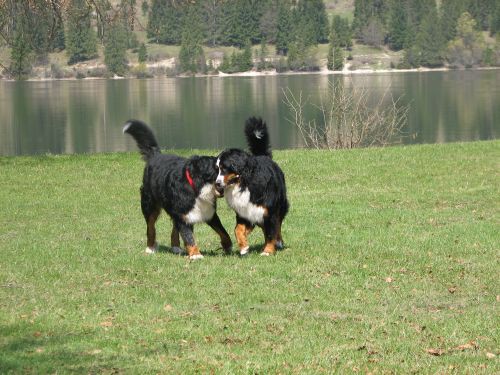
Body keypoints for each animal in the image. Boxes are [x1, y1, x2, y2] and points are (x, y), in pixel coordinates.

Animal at [123, 121, 232, 262]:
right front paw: (195, 254)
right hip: (150, 205)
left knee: (174, 228)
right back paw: (150, 247)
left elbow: (223, 231)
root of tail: (156, 155)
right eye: (219, 168)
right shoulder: (184, 214)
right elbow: (189, 236)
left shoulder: (208, 213)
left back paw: (175, 247)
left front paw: (228, 246)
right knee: (151, 227)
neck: (197, 189)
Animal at [215, 119, 290, 258]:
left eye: (224, 168)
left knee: (277, 226)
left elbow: (272, 232)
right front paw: (244, 247)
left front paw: (268, 251)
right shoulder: (244, 212)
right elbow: (238, 229)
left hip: (280, 206)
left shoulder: (270, 212)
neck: (245, 184)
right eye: (217, 169)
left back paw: (278, 242)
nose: (217, 183)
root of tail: (264, 156)